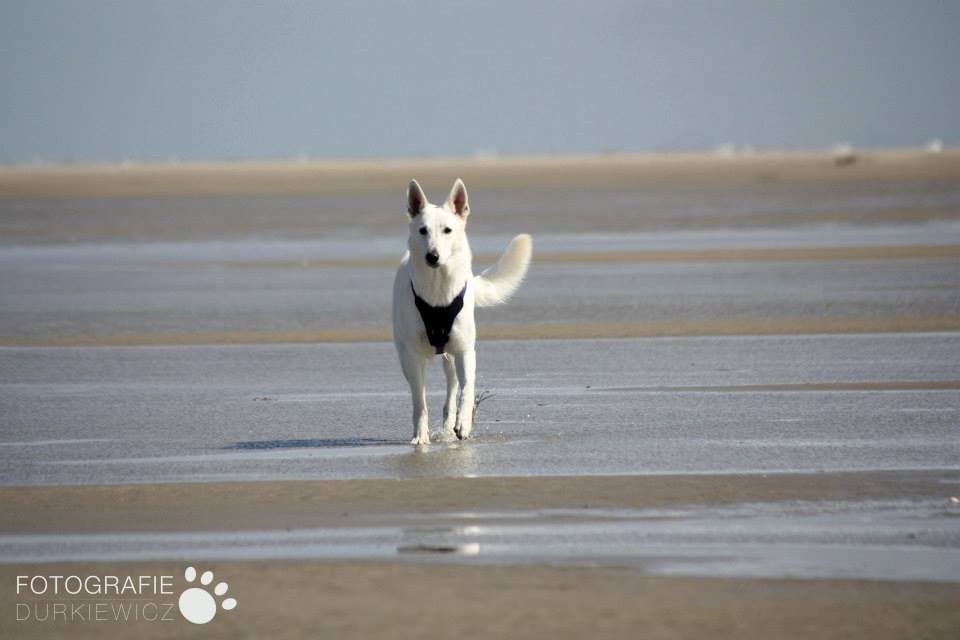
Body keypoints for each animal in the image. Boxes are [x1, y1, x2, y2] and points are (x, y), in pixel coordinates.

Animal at [392, 178, 532, 445]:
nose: (432, 256)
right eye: (423, 230)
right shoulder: (413, 358)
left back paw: (451, 426)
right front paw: (420, 435)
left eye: (447, 230)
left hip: (450, 357)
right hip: (406, 356)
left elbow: (467, 391)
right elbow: (420, 402)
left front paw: (464, 423)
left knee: (452, 392)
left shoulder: (464, 351)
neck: (438, 293)